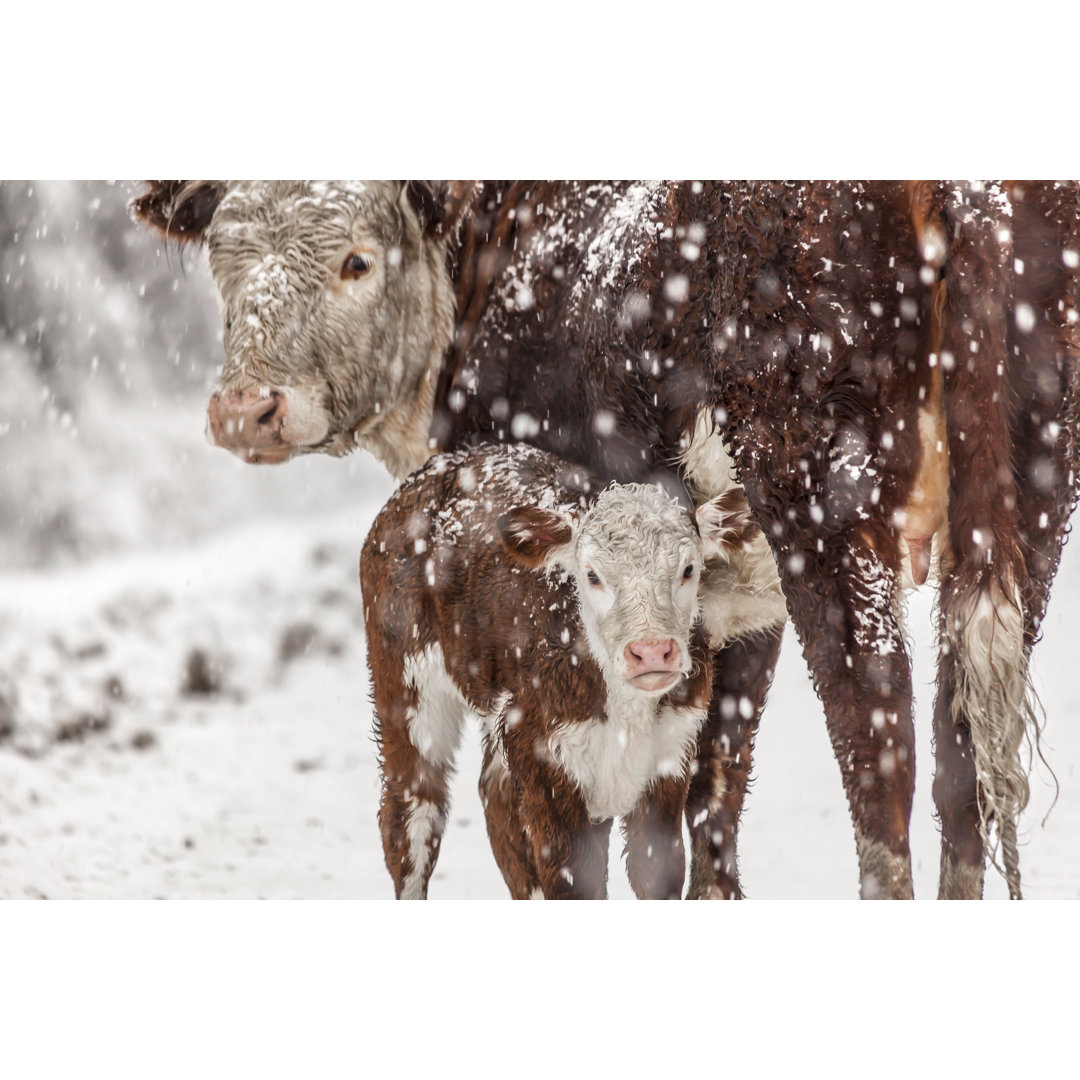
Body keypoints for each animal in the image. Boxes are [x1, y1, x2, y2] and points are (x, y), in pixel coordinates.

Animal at [360, 441, 757, 898]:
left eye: (688, 569)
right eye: (593, 576)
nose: (652, 652)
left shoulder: (671, 754)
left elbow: (656, 869)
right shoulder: (544, 757)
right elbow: (574, 877)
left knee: (496, 800)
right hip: (404, 679)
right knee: (412, 812)